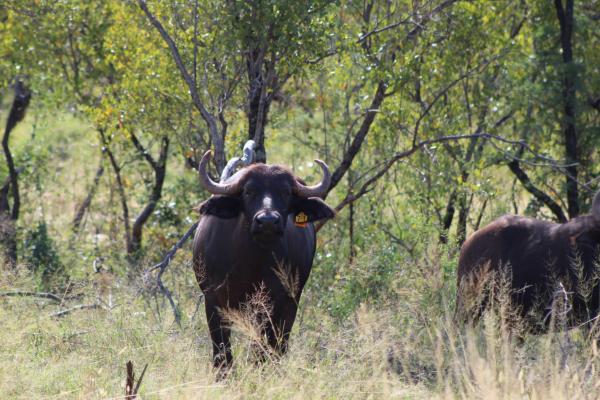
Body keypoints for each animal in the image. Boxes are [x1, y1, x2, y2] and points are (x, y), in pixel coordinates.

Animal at [193, 151, 336, 368]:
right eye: (248, 191)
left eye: (285, 192)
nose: (268, 221)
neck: (252, 264)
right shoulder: (213, 300)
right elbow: (221, 349)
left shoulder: (277, 304)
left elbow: (265, 346)